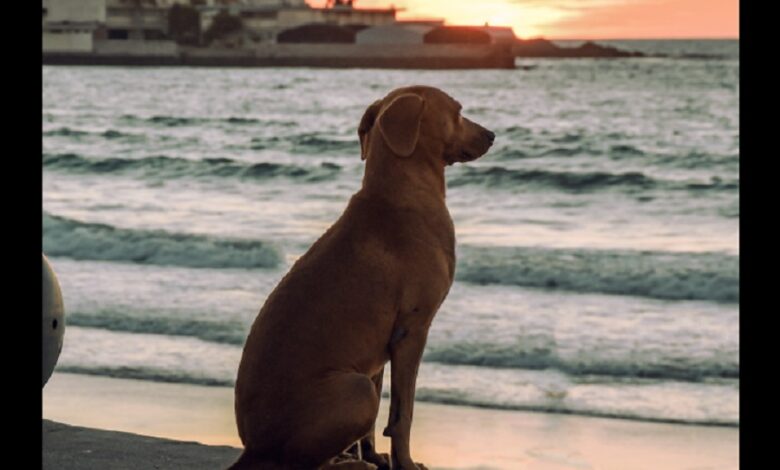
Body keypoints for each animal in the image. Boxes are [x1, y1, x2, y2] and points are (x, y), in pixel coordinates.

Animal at [229, 85, 494, 470]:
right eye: (458, 111)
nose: (491, 134)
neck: (401, 192)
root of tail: (254, 448)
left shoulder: (379, 347)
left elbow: (375, 420)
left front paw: (374, 454)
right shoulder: (412, 331)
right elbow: (402, 414)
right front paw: (405, 463)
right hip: (355, 389)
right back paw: (346, 463)